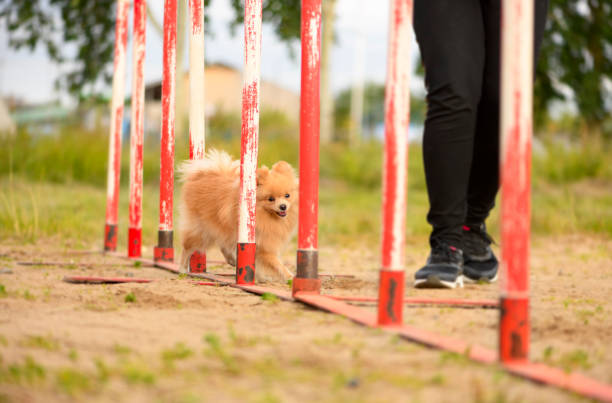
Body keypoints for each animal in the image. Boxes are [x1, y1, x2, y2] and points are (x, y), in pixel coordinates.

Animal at [177, 150, 298, 282]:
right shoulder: (264, 246)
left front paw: (261, 277)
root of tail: (201, 175)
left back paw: (232, 260)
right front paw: (290, 276)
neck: (267, 217)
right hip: (201, 232)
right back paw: (182, 269)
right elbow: (277, 264)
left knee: (223, 244)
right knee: (187, 247)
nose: (283, 206)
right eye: (271, 199)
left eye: (287, 195)